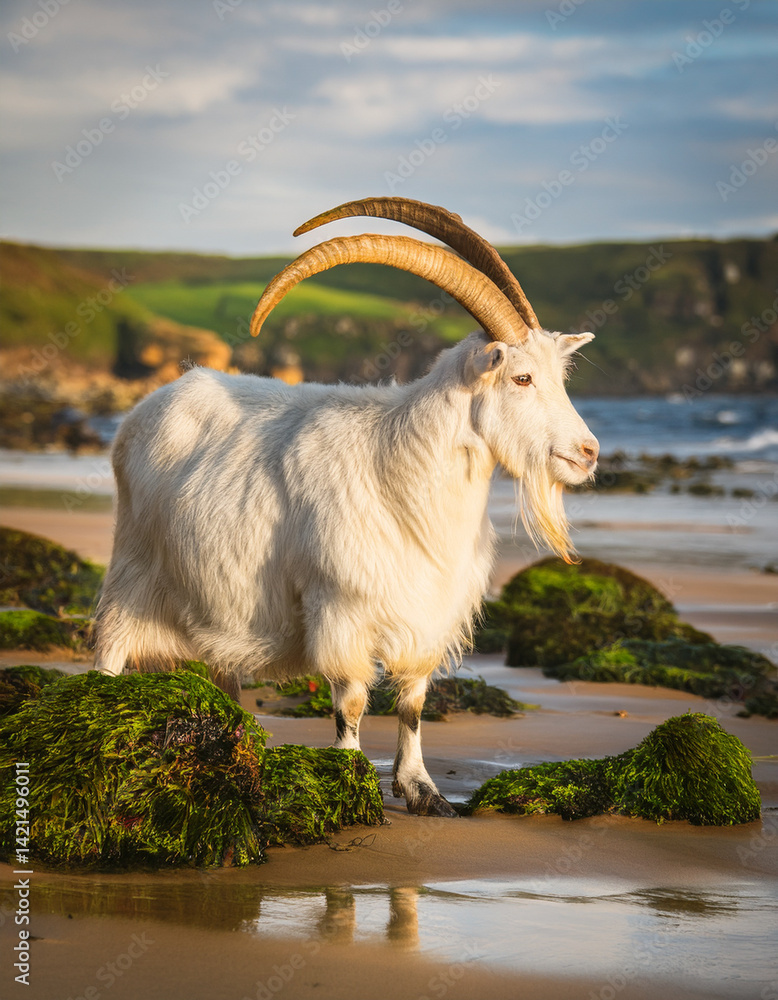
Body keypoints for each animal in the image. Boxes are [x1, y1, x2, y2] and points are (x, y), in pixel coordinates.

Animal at [94, 197, 599, 816]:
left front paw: (422, 790)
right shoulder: (339, 607)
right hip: (132, 571)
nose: (588, 454)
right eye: (522, 377)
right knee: (109, 652)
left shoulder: (427, 613)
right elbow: (352, 704)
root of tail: (153, 403)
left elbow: (411, 703)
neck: (399, 473)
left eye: (559, 376)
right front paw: (351, 783)